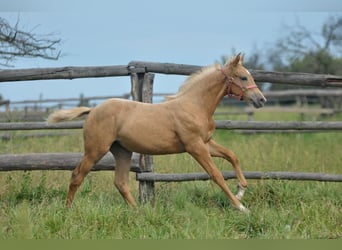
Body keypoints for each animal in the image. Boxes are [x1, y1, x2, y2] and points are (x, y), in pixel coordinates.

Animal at [47, 53, 268, 212]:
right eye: (243, 77)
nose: (261, 100)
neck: (195, 106)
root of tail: (92, 110)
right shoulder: (195, 146)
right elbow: (216, 175)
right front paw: (241, 207)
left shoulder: (206, 143)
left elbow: (232, 155)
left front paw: (241, 190)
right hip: (96, 150)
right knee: (77, 176)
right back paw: (67, 211)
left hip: (122, 151)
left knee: (121, 182)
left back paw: (140, 213)